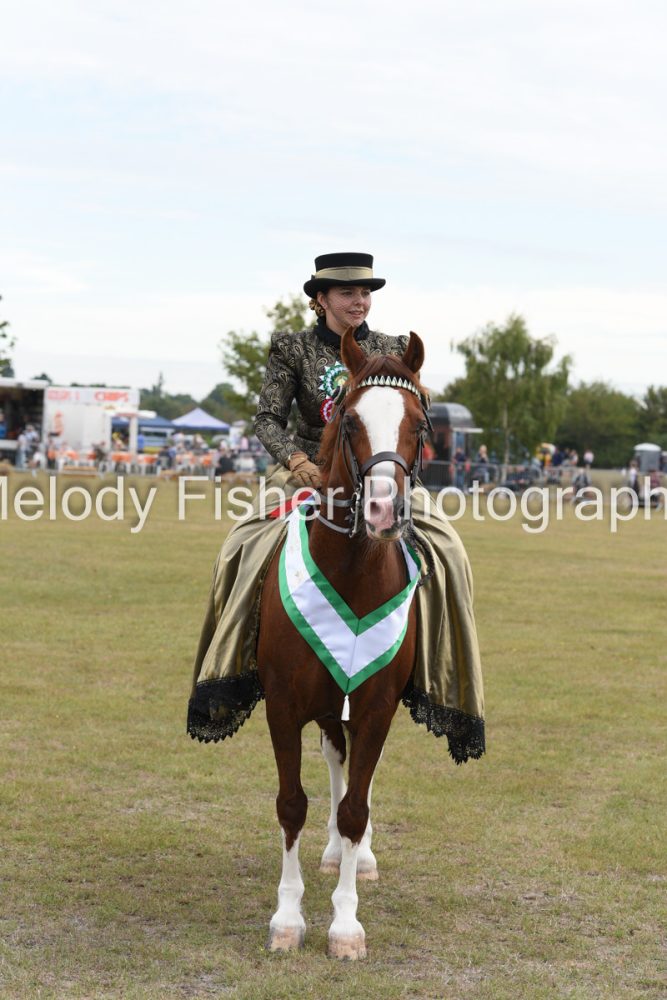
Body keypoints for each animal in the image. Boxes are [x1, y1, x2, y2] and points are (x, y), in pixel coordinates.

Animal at [256, 327, 430, 960]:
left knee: (357, 775)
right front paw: (288, 918)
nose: (381, 511)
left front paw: (346, 926)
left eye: (419, 424)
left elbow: (356, 806)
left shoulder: (376, 706)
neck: (353, 574)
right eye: (349, 420)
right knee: (335, 757)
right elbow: (292, 805)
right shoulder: (283, 707)